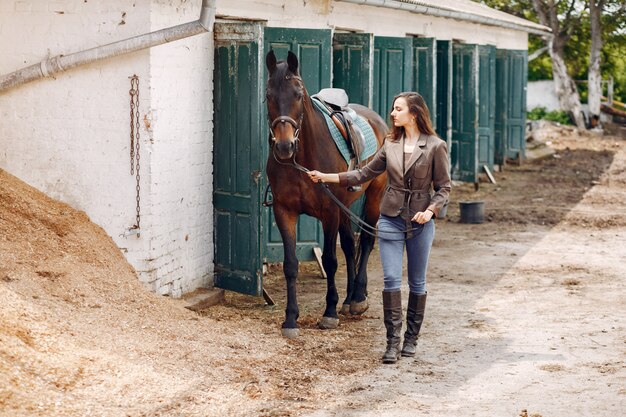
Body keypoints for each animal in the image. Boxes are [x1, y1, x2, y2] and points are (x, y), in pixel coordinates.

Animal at [264, 50, 386, 336]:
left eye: (298, 94)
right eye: (268, 95)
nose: (284, 147)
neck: (302, 158)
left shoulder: (329, 212)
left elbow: (330, 260)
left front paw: (329, 313)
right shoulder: (285, 211)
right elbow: (290, 264)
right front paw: (290, 318)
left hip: (374, 196)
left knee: (366, 241)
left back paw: (358, 298)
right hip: (345, 207)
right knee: (350, 244)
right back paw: (350, 298)